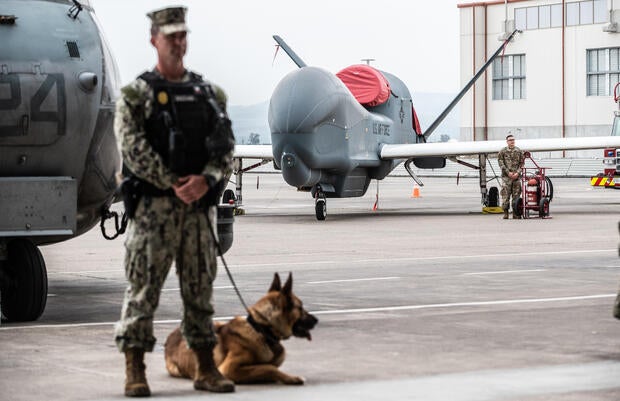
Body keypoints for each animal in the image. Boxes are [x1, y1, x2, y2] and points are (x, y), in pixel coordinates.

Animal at [163, 274, 318, 382]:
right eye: (301, 308)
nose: (316, 320)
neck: (261, 330)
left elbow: (269, 366)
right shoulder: (228, 369)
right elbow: (269, 367)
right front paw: (292, 377)